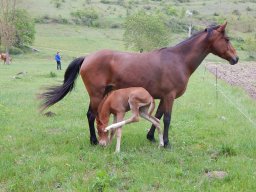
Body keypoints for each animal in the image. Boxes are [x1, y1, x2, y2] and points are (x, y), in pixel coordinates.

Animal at [39, 22, 238, 148]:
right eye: (227, 39)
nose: (236, 59)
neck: (178, 59)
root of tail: (87, 57)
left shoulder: (162, 97)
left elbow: (157, 116)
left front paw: (151, 138)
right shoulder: (170, 96)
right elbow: (167, 118)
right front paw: (167, 143)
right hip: (96, 94)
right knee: (91, 115)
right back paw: (94, 141)